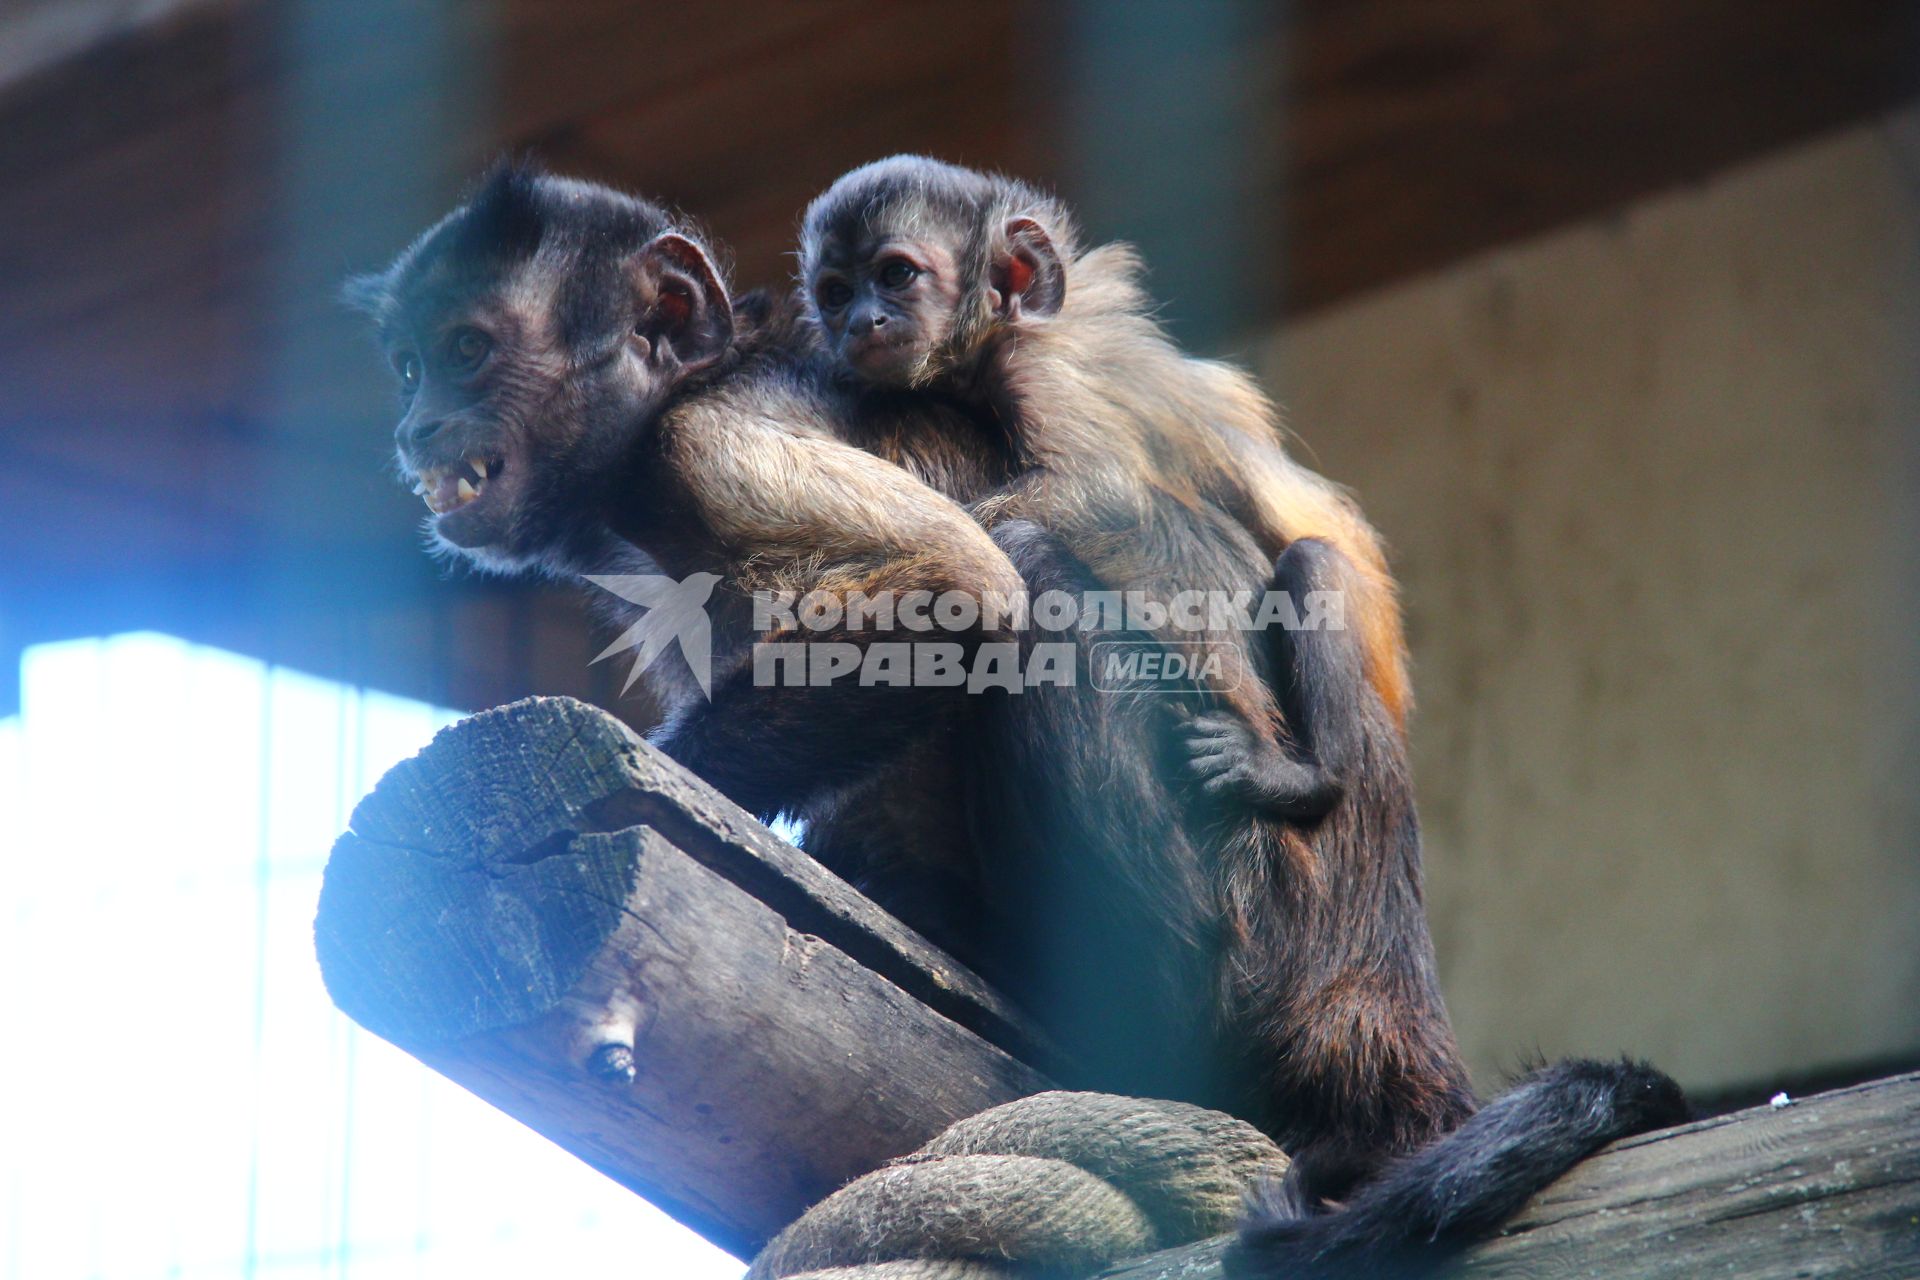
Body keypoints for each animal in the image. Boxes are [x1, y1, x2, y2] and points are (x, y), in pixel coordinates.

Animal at [794, 160, 1681, 1280]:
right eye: (833, 290)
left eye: (896, 276)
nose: (859, 322)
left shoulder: (1051, 379)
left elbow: (1065, 509)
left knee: (1256, 571)